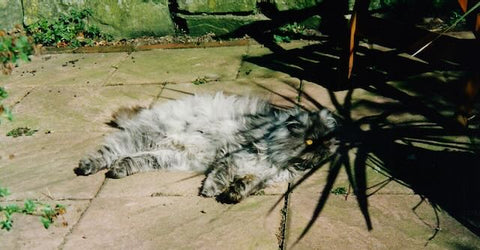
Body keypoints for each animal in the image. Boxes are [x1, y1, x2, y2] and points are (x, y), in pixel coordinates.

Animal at [75, 92, 338, 203]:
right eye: (310, 141)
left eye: (328, 142)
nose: (322, 148)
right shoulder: (235, 157)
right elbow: (220, 175)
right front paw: (211, 191)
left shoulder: (263, 176)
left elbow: (246, 184)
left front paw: (233, 195)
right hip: (145, 137)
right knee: (109, 151)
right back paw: (86, 167)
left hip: (168, 157)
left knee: (133, 159)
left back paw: (118, 170)